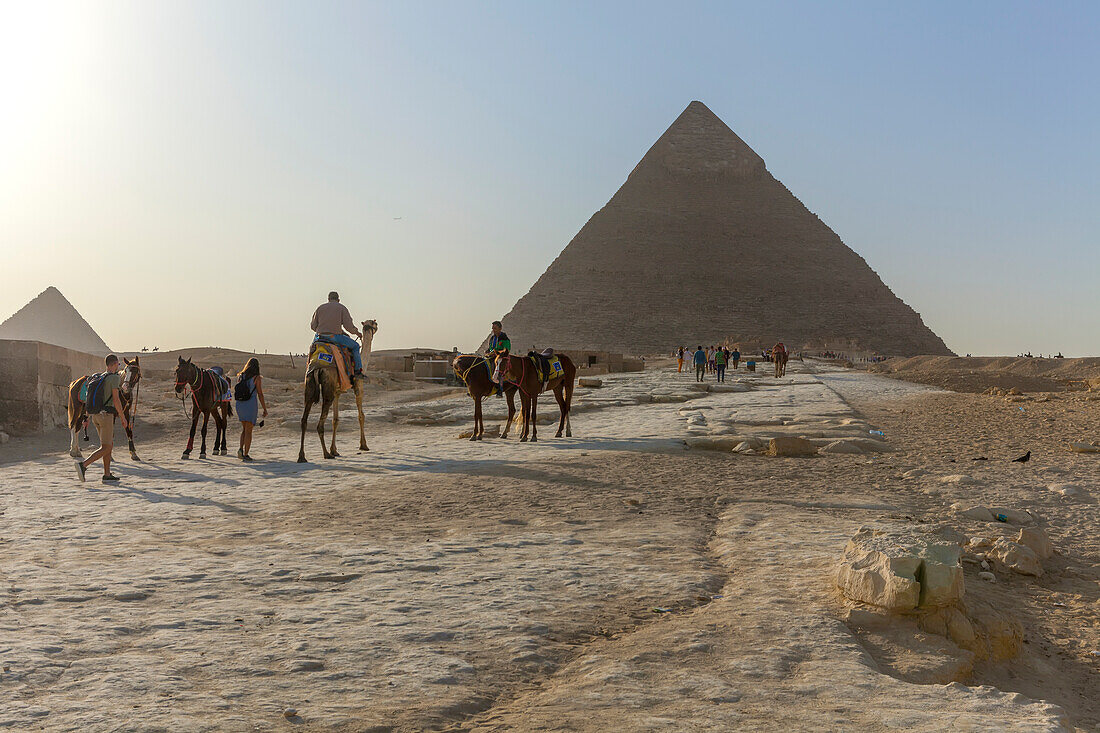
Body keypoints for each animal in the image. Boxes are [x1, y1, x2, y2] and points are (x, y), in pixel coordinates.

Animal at [297, 316, 378, 460]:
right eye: (374, 324)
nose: (377, 326)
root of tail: (317, 365)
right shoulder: (358, 387)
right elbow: (361, 415)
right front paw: (363, 445)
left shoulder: (337, 392)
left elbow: (335, 420)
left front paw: (334, 449)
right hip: (328, 385)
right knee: (319, 424)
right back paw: (326, 454)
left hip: (310, 383)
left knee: (304, 420)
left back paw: (302, 456)